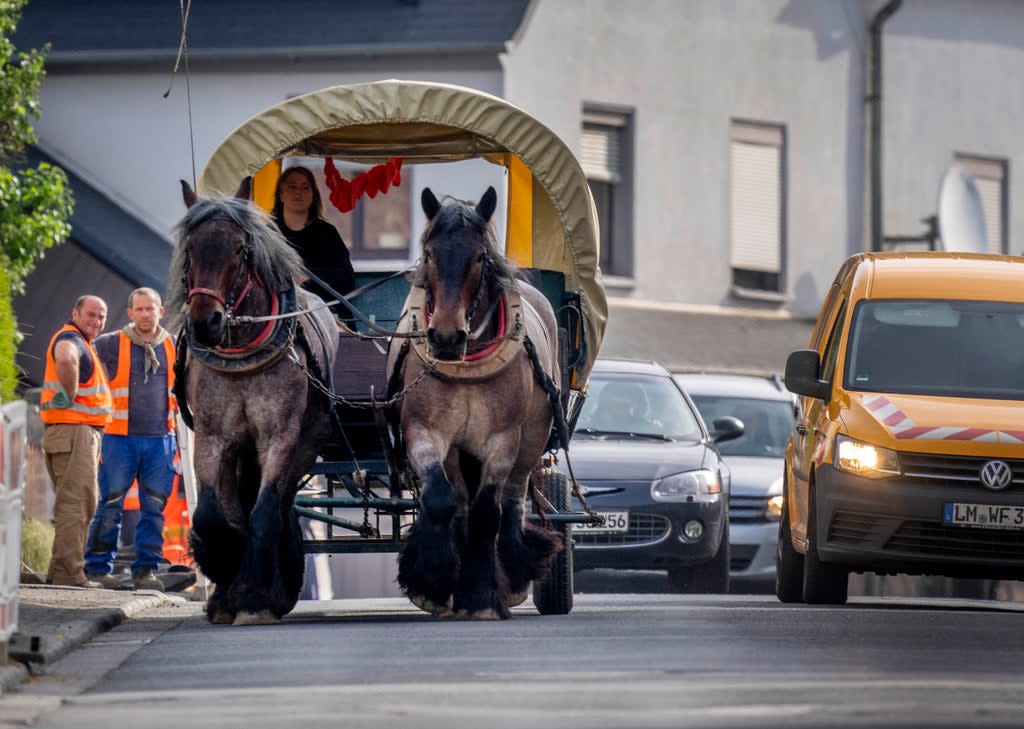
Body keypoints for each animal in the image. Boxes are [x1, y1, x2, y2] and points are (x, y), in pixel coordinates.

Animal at [169, 179, 337, 622]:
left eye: (240, 249)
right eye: (190, 249)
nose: (205, 322)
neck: (243, 353)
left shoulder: (279, 437)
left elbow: (263, 513)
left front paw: (255, 597)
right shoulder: (212, 437)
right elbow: (213, 515)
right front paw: (224, 576)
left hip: (305, 445)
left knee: (278, 505)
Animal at [385, 188, 565, 622]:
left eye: (481, 257)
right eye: (429, 254)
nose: (446, 336)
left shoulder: (502, 440)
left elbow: (488, 512)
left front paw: (481, 595)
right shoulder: (425, 433)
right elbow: (442, 501)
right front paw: (433, 581)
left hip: (532, 439)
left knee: (513, 500)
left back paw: (513, 571)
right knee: (461, 502)